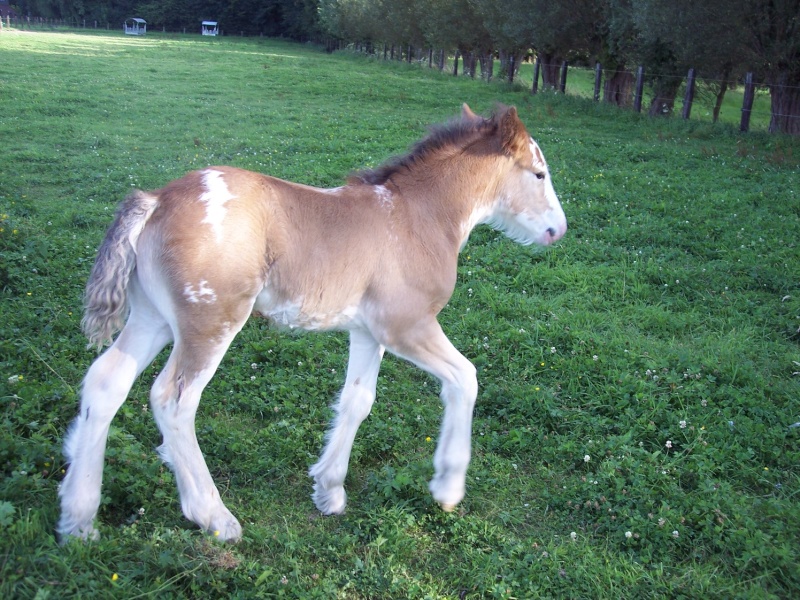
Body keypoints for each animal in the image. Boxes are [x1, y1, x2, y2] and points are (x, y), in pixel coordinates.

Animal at [57, 104, 568, 544]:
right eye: (539, 174)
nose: (558, 230)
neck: (419, 217)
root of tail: (156, 200)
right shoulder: (407, 326)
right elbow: (465, 378)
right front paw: (447, 487)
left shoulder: (368, 332)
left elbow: (358, 400)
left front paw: (329, 490)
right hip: (211, 323)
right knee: (173, 401)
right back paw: (213, 515)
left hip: (154, 317)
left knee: (105, 382)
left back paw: (79, 517)